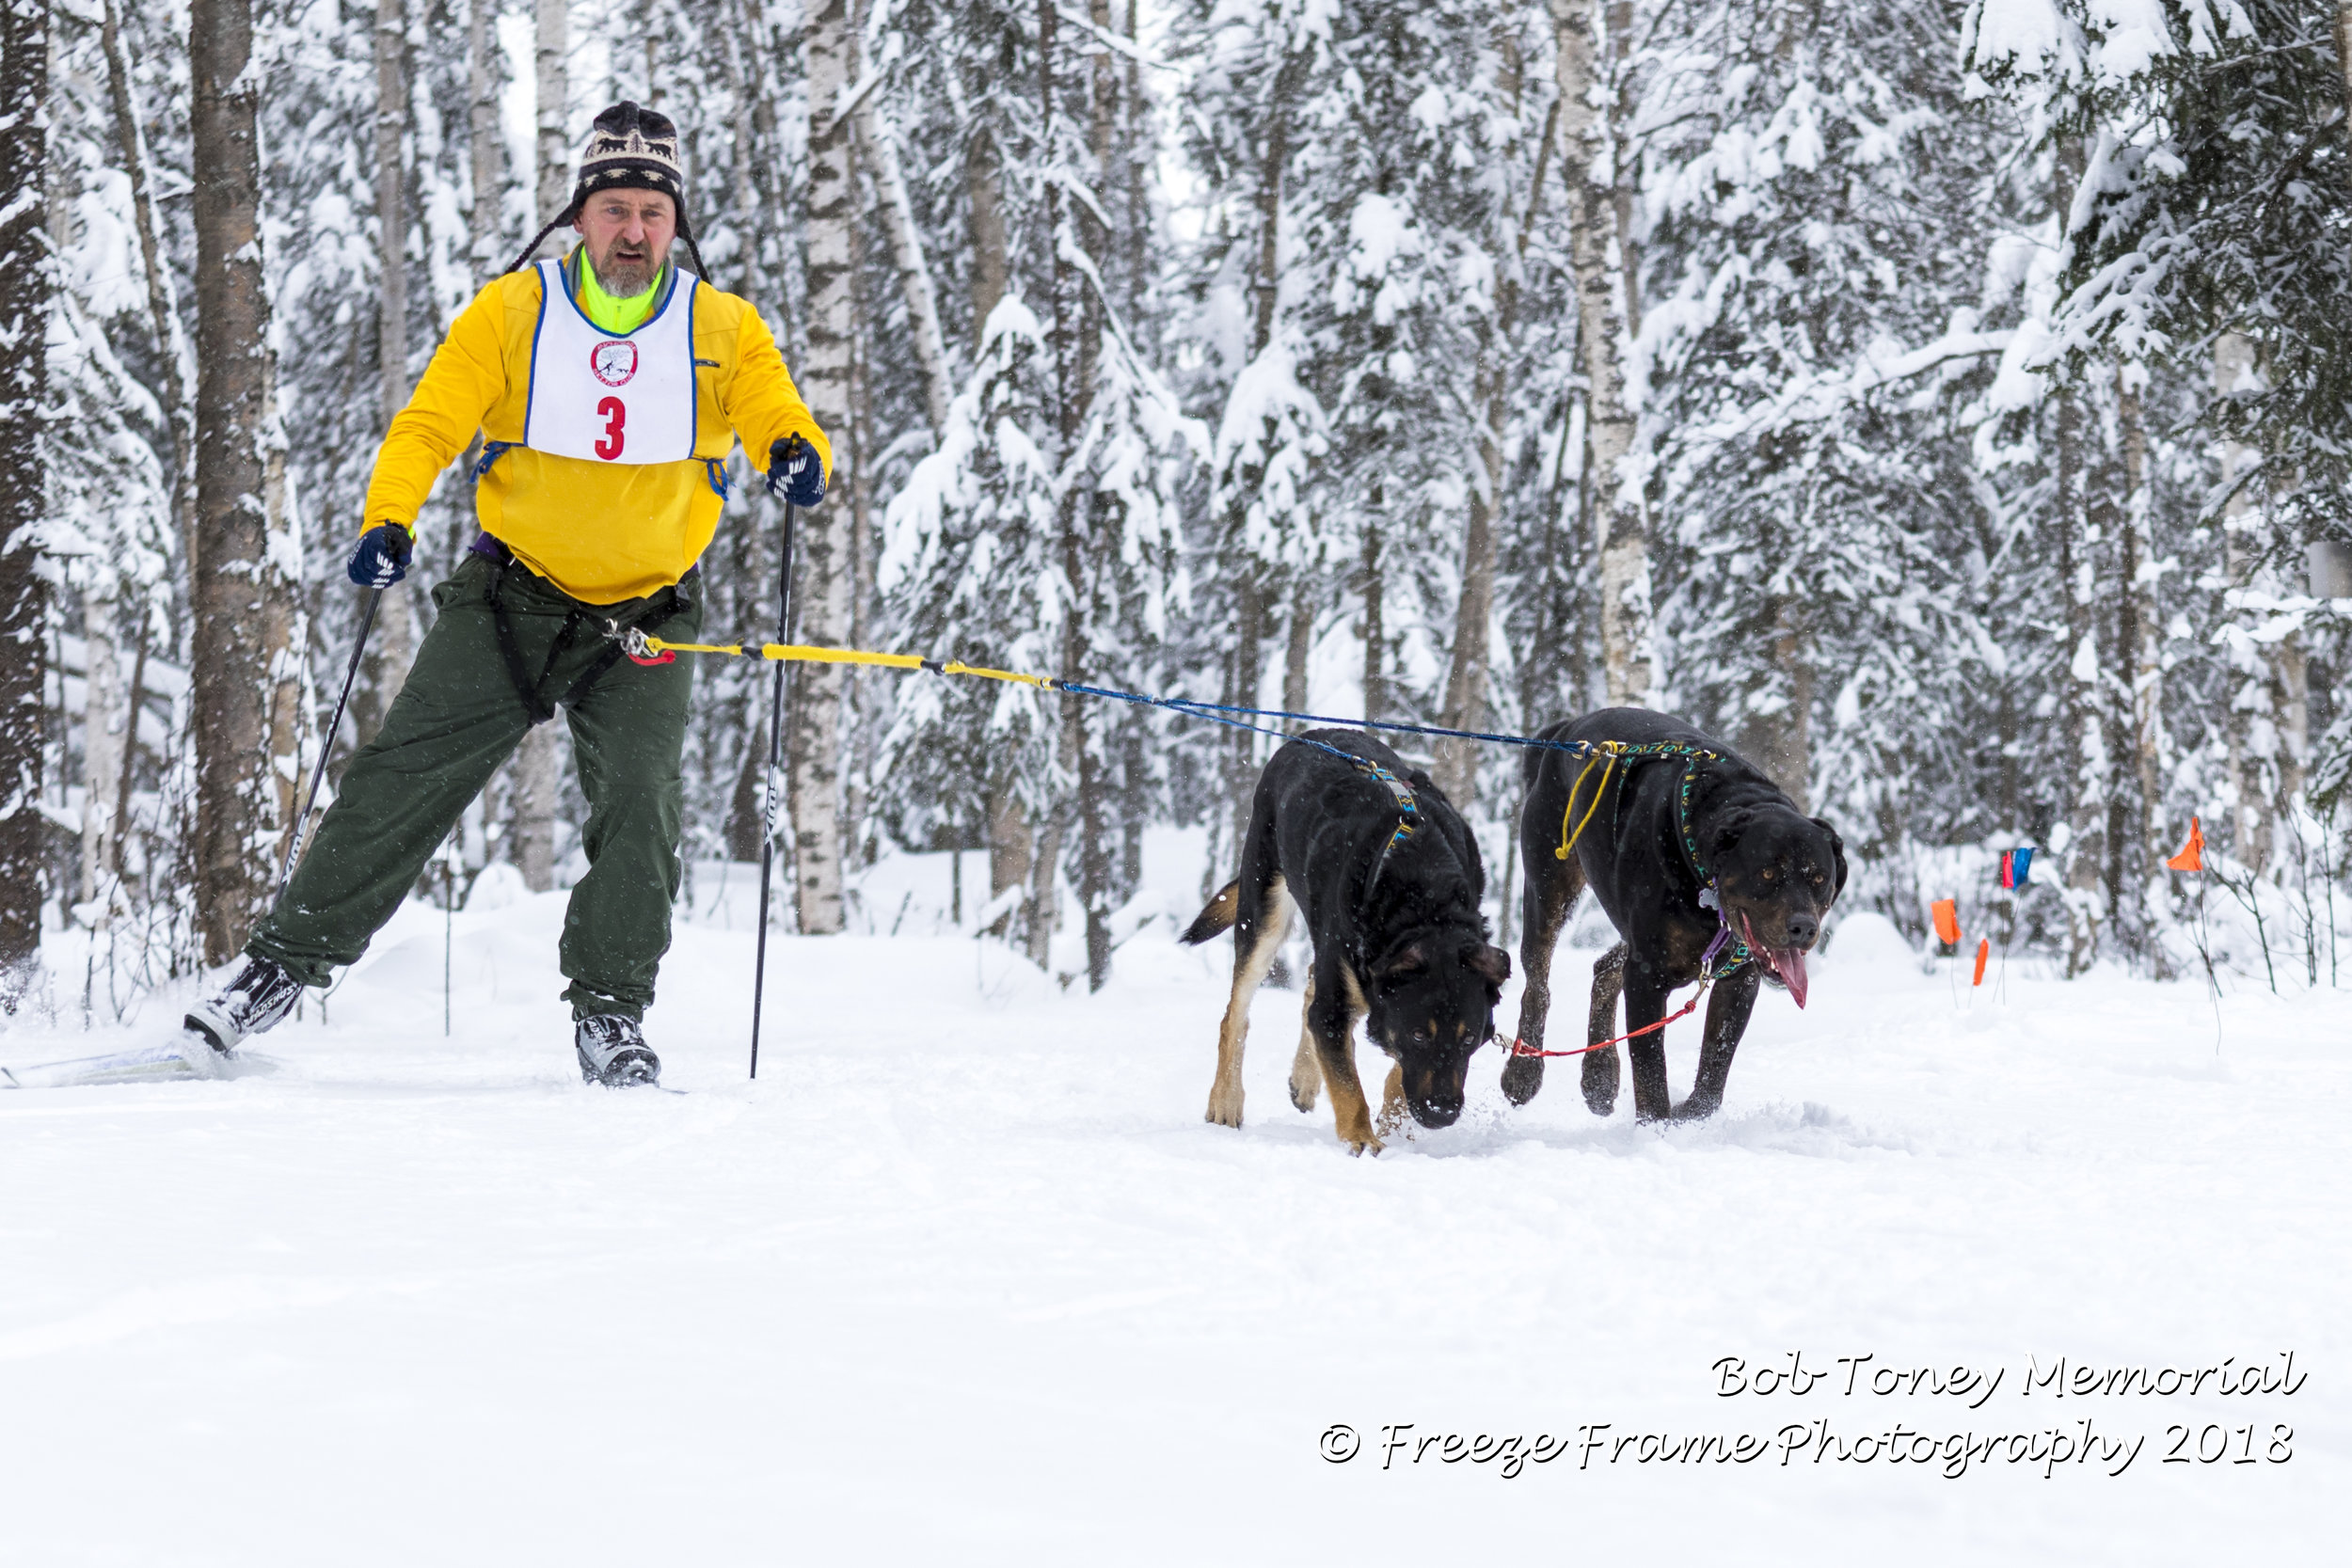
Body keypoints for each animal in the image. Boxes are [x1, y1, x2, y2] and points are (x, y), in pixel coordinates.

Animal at [1185, 733, 1515, 1151]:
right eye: (1419, 1034)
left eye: (1469, 1037)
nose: (1442, 1114)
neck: (1423, 896)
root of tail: (1305, 738)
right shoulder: (1338, 1003)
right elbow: (1348, 1084)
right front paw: (1362, 1141)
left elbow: (1392, 1072)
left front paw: (1393, 1121)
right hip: (1263, 915)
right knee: (1237, 1015)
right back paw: (1226, 1101)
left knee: (1313, 984)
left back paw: (1305, 1078)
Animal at [1496, 705, 1844, 1123]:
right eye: (1767, 873)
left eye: (1819, 878)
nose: (1803, 928)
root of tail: (1565, 730)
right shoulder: (1648, 976)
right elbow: (1649, 1068)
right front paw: (1657, 1127)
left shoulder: (1739, 978)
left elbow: (1716, 1064)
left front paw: (1690, 1114)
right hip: (1550, 883)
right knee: (1538, 983)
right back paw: (1524, 1070)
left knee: (1605, 969)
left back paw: (1600, 1076)